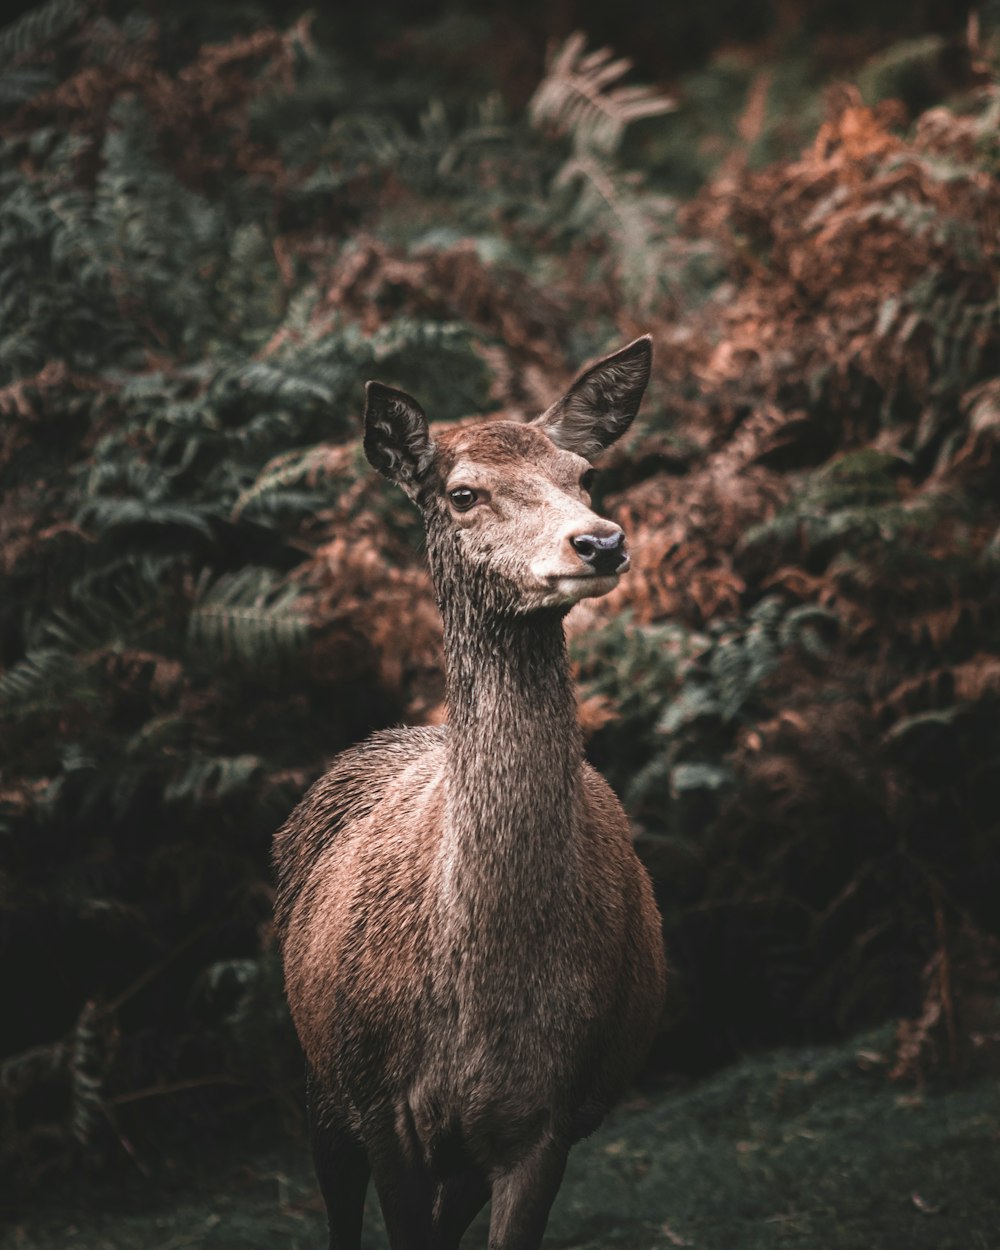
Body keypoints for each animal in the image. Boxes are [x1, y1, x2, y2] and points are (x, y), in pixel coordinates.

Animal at [270, 335, 670, 1250]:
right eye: (462, 493)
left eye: (583, 473)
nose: (600, 542)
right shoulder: (380, 1105)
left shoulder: (551, 1121)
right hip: (313, 1073)